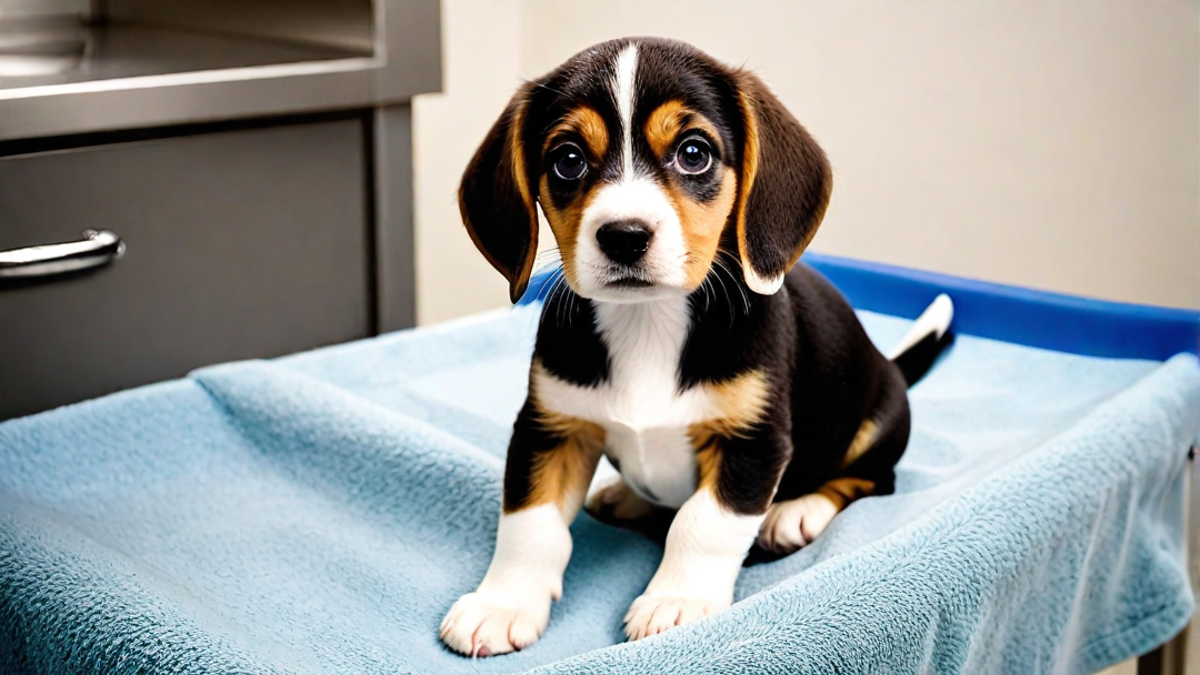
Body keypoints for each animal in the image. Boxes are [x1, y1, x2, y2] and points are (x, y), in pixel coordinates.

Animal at [436, 35, 950, 653]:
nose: (624, 236)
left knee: (872, 479)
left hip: (879, 419)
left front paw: (675, 601)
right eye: (567, 159)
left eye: (694, 153)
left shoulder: (752, 443)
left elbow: (702, 525)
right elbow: (528, 524)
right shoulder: (549, 428)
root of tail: (890, 365)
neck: (648, 319)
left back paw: (796, 512)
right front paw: (502, 603)